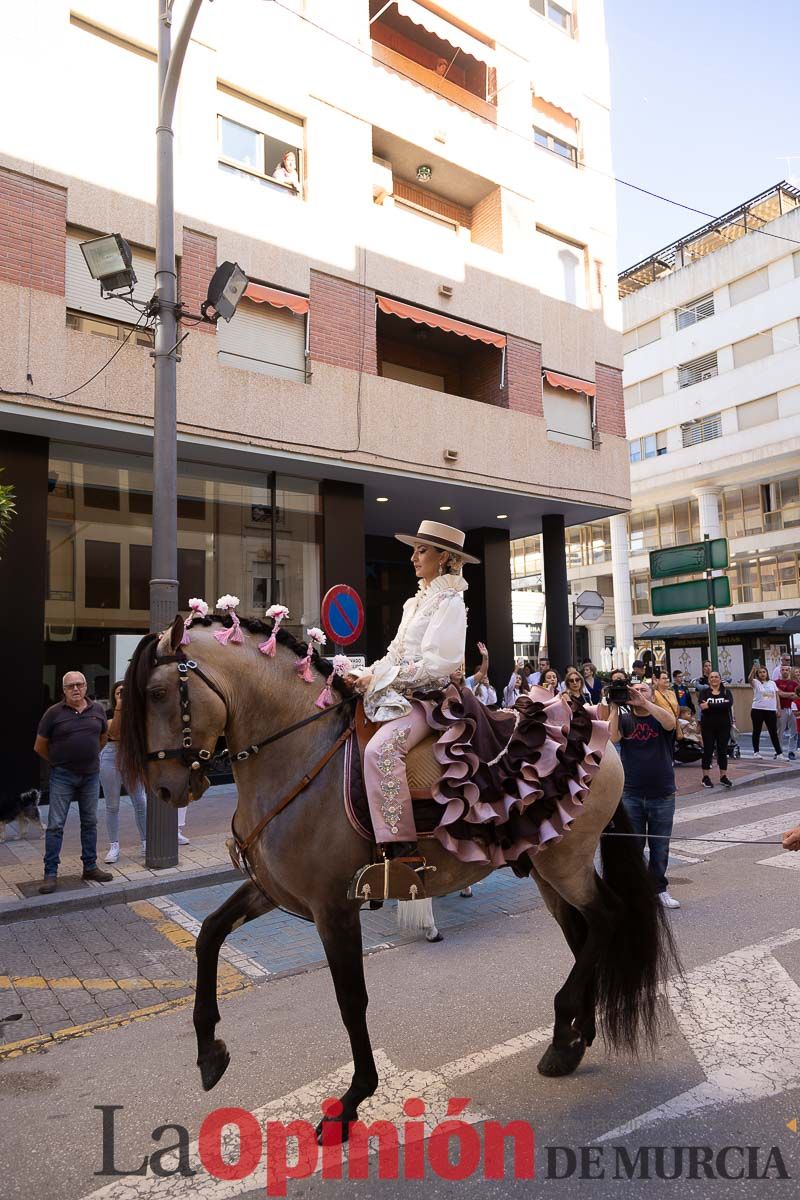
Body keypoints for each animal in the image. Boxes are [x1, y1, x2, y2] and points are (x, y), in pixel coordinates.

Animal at [118, 614, 681, 1137]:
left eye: (158, 692)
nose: (164, 791)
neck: (299, 753)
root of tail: (600, 737)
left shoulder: (333, 906)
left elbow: (351, 999)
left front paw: (351, 1101)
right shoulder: (271, 890)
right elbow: (209, 934)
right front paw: (209, 1052)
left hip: (565, 863)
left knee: (607, 917)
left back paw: (567, 1026)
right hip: (547, 869)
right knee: (583, 934)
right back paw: (572, 1039)